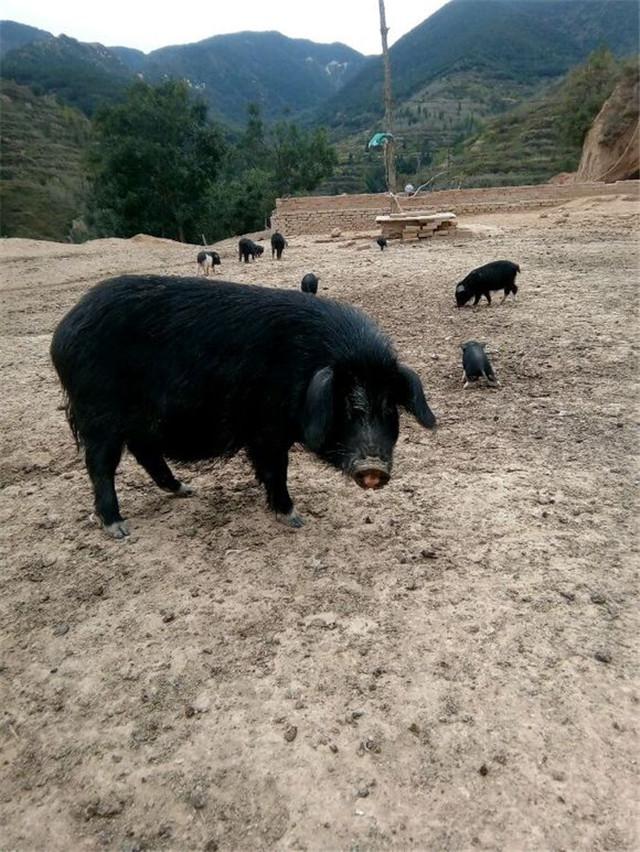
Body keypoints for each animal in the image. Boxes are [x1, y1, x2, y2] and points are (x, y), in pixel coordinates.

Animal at [52, 276, 438, 536]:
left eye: (389, 408)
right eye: (346, 406)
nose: (374, 468)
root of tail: (64, 331)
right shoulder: (266, 429)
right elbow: (276, 469)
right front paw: (294, 518)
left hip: (136, 418)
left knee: (145, 451)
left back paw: (185, 490)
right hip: (98, 411)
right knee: (101, 466)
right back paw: (119, 528)